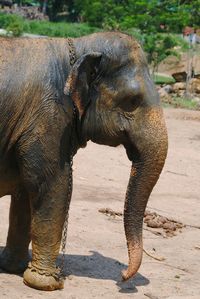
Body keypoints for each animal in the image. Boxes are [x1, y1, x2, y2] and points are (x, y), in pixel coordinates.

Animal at [0, 32, 168, 290]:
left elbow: (25, 192)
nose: (123, 277)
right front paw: (45, 283)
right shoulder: (48, 119)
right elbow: (50, 186)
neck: (79, 46)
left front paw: (15, 268)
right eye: (132, 101)